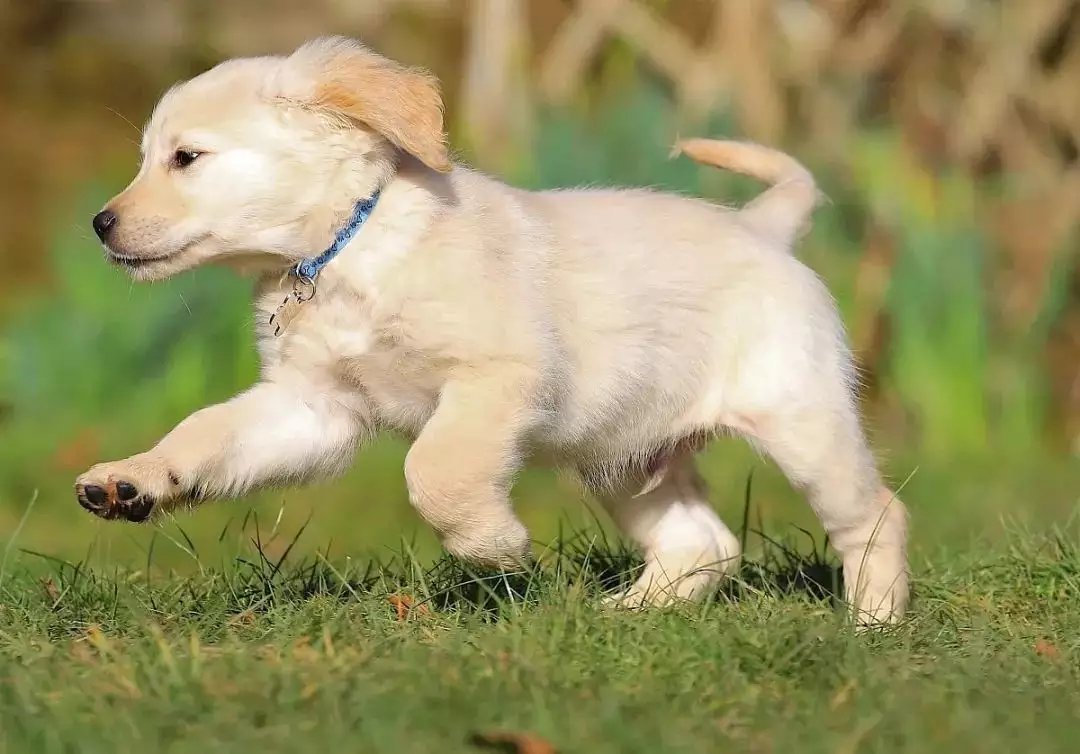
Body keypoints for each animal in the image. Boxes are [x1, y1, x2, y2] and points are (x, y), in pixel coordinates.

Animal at [76, 35, 907, 622]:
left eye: (187, 157)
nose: (100, 225)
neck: (349, 252)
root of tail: (764, 228)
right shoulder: (312, 408)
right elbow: (205, 432)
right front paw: (133, 478)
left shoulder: (496, 379)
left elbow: (434, 471)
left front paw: (495, 547)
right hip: (627, 452)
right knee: (704, 546)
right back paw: (624, 616)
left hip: (803, 422)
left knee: (874, 516)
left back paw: (874, 626)